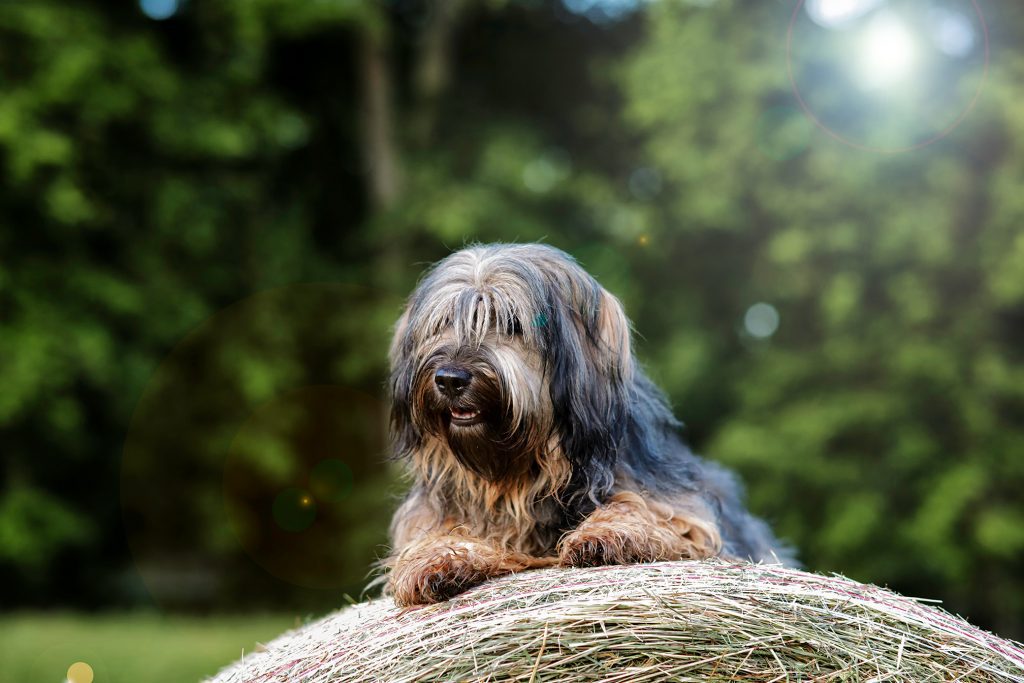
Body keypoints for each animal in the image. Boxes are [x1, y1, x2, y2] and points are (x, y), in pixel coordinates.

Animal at [385, 242, 790, 606]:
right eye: (442, 323)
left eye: (511, 324)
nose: (450, 379)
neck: (523, 469)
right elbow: (434, 535)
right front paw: (438, 558)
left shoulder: (684, 511)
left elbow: (651, 512)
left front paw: (605, 534)